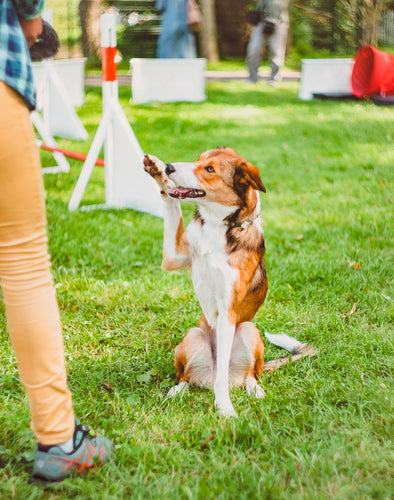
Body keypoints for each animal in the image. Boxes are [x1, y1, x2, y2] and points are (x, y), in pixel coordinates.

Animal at [143, 148, 316, 418]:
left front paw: (224, 406)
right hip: (193, 335)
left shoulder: (228, 312)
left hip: (248, 330)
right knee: (185, 377)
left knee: (249, 375)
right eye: (198, 158)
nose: (170, 167)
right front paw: (158, 173)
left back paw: (254, 390)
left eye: (210, 169)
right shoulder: (172, 258)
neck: (218, 225)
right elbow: (170, 203)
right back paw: (177, 390)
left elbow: (223, 371)